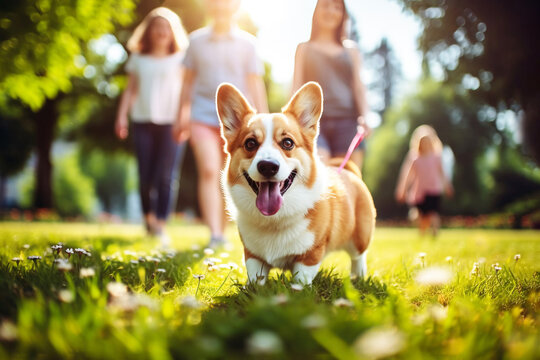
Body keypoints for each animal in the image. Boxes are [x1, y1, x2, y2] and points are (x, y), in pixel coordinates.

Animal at [215, 81, 376, 284]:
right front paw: (253, 288)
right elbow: (255, 277)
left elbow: (301, 279)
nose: (268, 166)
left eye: (288, 143)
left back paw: (359, 276)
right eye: (250, 143)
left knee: (358, 256)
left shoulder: (310, 255)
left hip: (359, 236)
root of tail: (348, 171)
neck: (274, 220)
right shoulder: (252, 255)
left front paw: (298, 289)